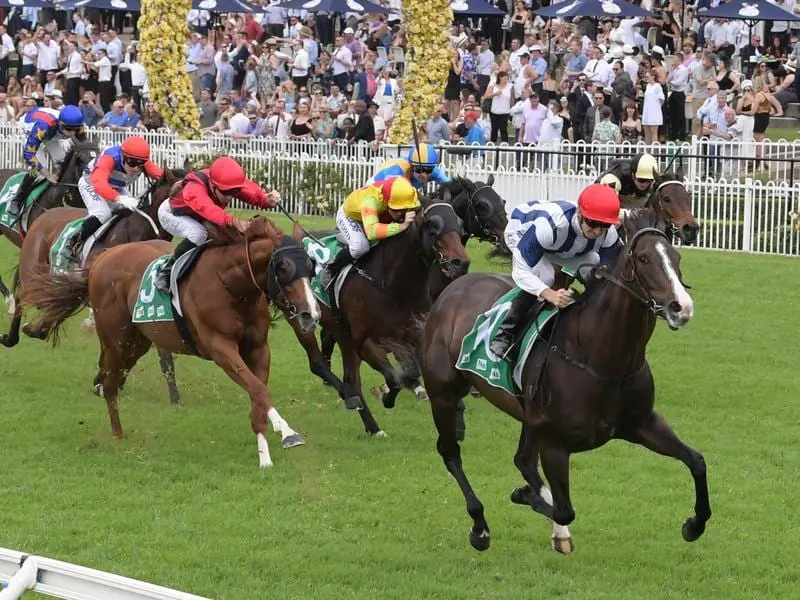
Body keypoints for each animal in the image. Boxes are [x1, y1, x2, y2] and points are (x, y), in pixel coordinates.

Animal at [19, 216, 318, 468]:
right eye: (284, 267)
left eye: (312, 267)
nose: (310, 314)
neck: (233, 286)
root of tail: (102, 258)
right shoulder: (220, 348)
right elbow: (259, 390)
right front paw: (285, 436)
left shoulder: (258, 348)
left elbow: (258, 393)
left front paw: (268, 450)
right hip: (115, 339)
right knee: (110, 382)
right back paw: (117, 434)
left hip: (138, 342)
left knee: (110, 378)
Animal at [282, 202, 472, 436]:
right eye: (432, 226)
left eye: (460, 224)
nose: (460, 263)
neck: (393, 286)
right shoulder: (366, 343)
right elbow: (396, 378)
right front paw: (387, 396)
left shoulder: (413, 337)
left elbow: (414, 372)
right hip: (302, 320)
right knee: (328, 369)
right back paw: (365, 416)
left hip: (341, 332)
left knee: (349, 375)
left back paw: (370, 424)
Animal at [416, 210, 708, 552]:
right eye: (645, 259)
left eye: (676, 257)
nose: (681, 307)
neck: (600, 360)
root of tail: (454, 288)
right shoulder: (554, 444)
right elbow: (565, 510)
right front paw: (528, 498)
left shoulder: (642, 423)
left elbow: (697, 461)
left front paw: (694, 525)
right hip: (444, 394)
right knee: (450, 452)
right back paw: (480, 527)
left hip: (527, 414)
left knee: (522, 460)